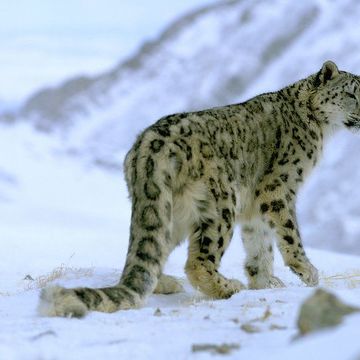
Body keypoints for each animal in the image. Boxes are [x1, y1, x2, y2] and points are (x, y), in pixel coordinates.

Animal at [38, 62, 360, 318]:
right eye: (352, 94)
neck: (320, 130)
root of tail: (147, 147)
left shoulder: (255, 205)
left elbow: (259, 242)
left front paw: (265, 282)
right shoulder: (279, 189)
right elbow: (289, 234)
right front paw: (308, 273)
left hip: (170, 212)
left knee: (152, 252)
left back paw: (166, 283)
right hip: (220, 205)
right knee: (198, 261)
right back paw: (228, 286)